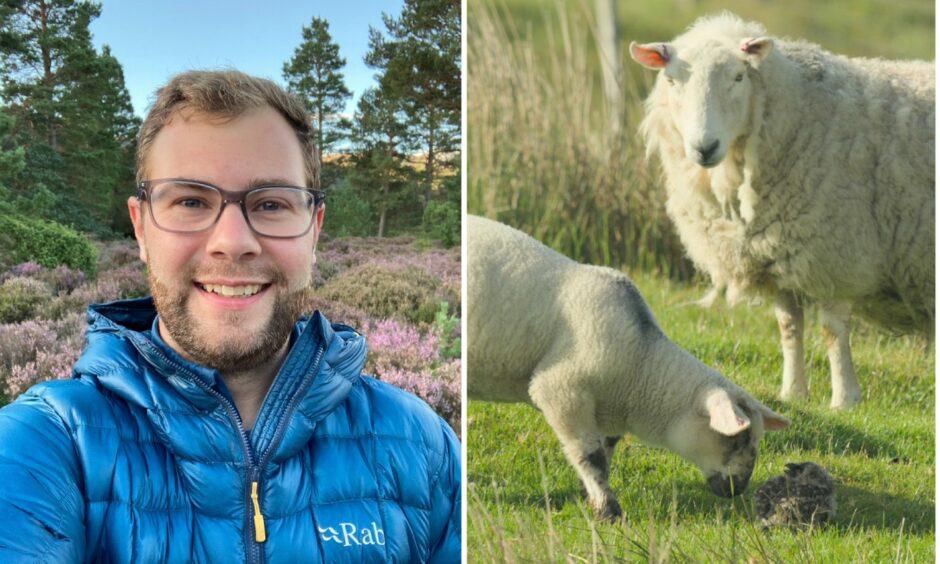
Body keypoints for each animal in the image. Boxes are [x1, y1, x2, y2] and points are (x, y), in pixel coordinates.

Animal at [466, 215, 788, 520]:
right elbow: (590, 455)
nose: (739, 488)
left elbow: (604, 454)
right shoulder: (563, 392)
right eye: (737, 440)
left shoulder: (606, 411)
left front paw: (590, 495)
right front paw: (609, 511)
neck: (642, 367)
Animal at [632, 13, 932, 410]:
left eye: (738, 77)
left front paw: (844, 400)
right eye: (670, 81)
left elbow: (832, 331)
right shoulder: (779, 254)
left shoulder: (835, 253)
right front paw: (793, 392)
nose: (704, 147)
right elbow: (788, 326)